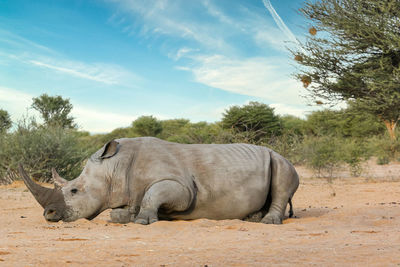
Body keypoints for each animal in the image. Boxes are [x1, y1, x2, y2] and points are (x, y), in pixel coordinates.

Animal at [20, 137, 298, 225]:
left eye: (74, 191)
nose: (49, 214)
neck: (114, 167)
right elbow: (123, 210)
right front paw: (126, 216)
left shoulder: (182, 187)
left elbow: (155, 194)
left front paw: (142, 221)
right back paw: (252, 218)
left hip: (280, 159)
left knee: (283, 181)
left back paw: (268, 222)